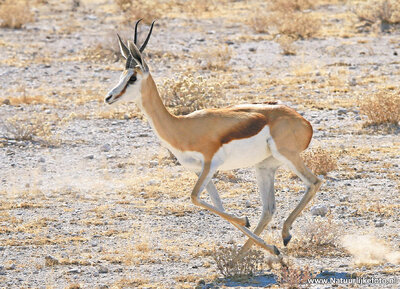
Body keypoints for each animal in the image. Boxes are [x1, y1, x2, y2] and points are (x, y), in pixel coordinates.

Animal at [104, 20, 324, 258]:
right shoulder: (199, 171)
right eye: (121, 75)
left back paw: (284, 235)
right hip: (264, 167)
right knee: (268, 209)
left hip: (287, 156)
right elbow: (217, 206)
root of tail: (305, 123)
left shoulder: (210, 165)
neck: (181, 127)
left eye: (133, 78)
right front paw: (257, 235)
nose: (109, 97)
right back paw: (249, 254)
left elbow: (194, 197)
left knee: (314, 182)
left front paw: (244, 219)